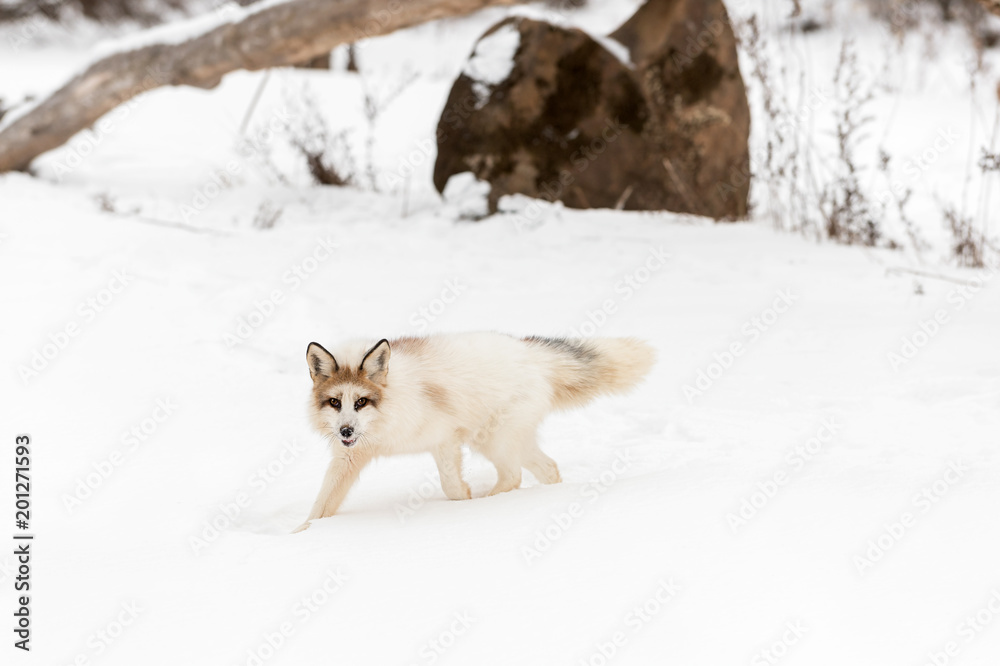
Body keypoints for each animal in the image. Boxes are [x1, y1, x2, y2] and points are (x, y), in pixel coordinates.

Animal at [294, 330, 656, 532]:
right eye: (335, 402)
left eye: (361, 401)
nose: (345, 431)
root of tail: (530, 353)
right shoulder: (349, 458)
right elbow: (320, 507)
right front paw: (302, 534)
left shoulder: (444, 439)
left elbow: (452, 486)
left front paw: (464, 506)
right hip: (511, 441)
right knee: (548, 469)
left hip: (492, 441)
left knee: (514, 476)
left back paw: (489, 504)